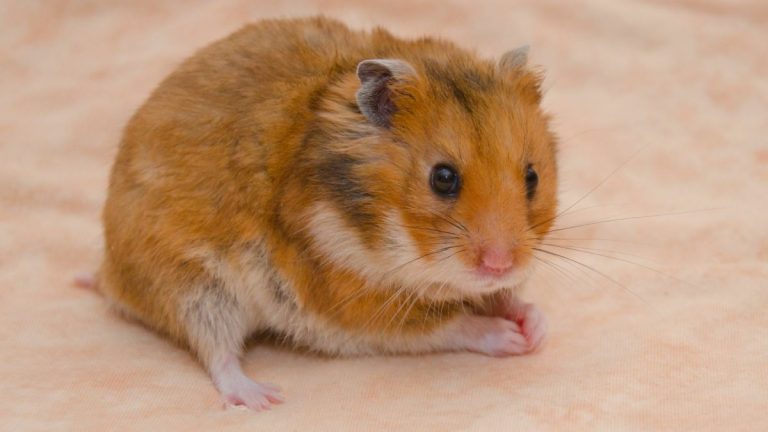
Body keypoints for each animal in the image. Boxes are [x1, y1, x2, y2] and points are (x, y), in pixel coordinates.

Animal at [99, 16, 558, 411]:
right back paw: (261, 397)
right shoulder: (352, 306)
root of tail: (109, 275)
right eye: (442, 178)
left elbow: (500, 298)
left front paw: (534, 326)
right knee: (218, 354)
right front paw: (513, 338)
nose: (500, 265)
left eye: (532, 176)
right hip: (193, 288)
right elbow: (451, 324)